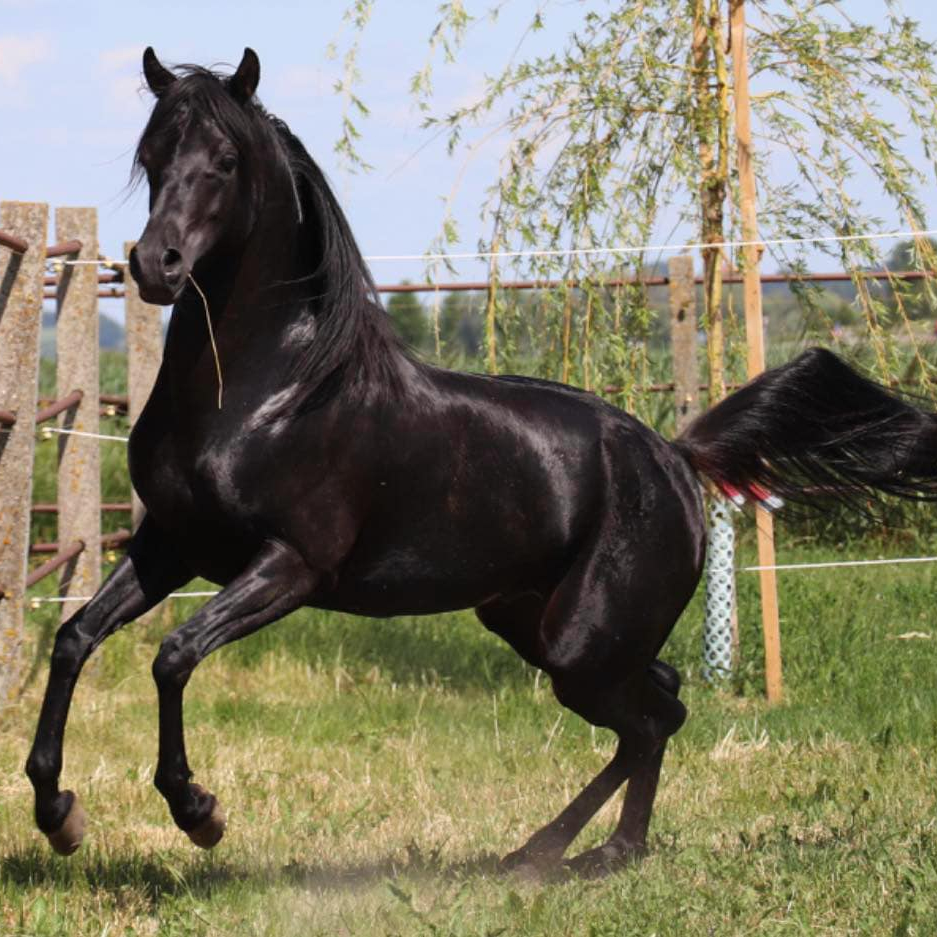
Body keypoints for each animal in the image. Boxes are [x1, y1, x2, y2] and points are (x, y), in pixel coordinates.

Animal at [25, 47, 937, 879]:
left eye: (223, 161)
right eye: (151, 157)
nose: (156, 266)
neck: (268, 391)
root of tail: (675, 457)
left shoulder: (290, 565)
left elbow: (173, 654)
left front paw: (198, 811)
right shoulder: (170, 545)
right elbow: (74, 637)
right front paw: (57, 809)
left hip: (578, 644)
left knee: (650, 720)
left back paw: (582, 854)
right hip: (540, 624)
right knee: (664, 700)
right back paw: (558, 850)